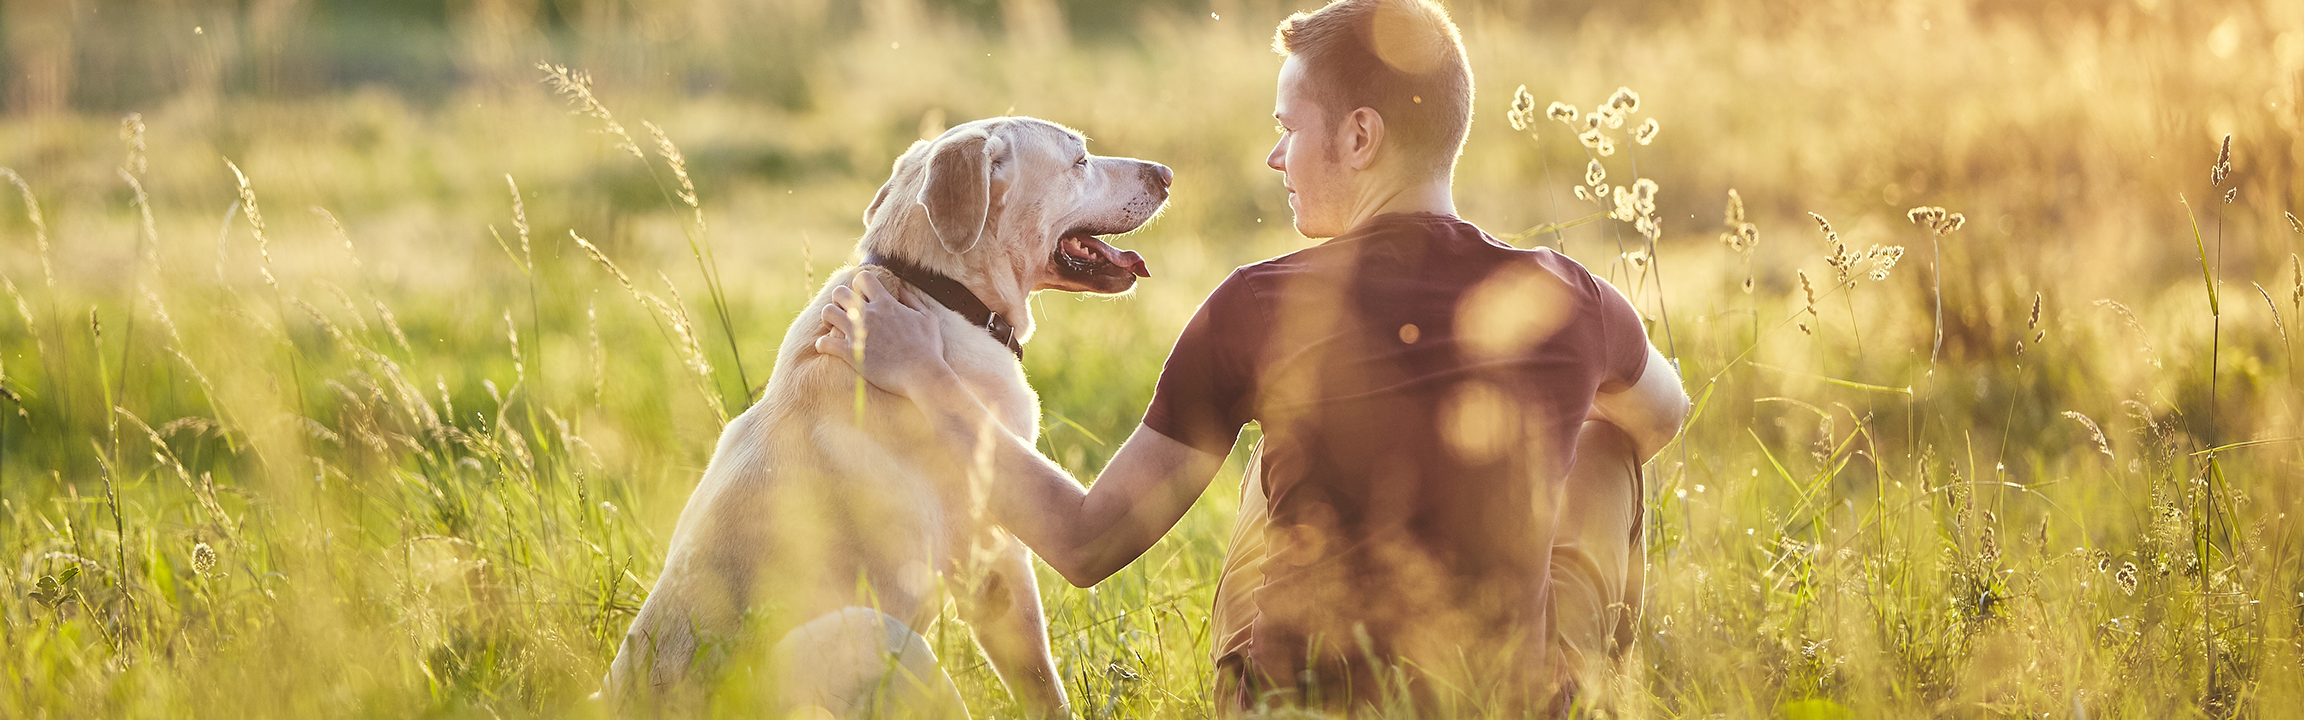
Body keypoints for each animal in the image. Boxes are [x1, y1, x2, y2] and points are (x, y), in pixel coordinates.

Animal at [603, 115, 1170, 715]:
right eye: (1080, 161)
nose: (1166, 174)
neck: (937, 291)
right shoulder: (996, 555)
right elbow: (1042, 682)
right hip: (877, 634)